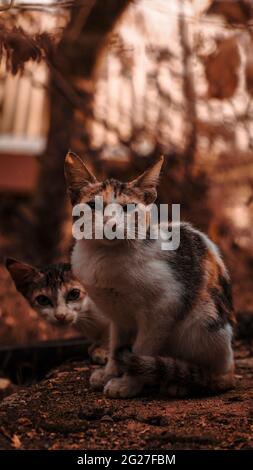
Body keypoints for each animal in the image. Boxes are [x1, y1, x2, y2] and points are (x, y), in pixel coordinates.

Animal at [64, 152, 235, 398]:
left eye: (128, 209)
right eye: (92, 205)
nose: (109, 222)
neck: (103, 256)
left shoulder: (162, 309)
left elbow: (141, 348)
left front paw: (127, 384)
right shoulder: (118, 316)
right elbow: (116, 345)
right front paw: (110, 372)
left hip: (203, 321)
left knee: (218, 376)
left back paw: (181, 380)